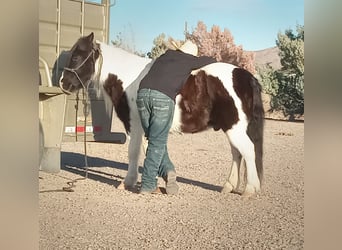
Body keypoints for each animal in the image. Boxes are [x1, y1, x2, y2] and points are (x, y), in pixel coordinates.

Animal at [59, 33, 264, 196]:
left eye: (76, 57)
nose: (63, 83)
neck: (129, 77)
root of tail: (246, 77)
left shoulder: (134, 125)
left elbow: (134, 152)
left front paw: (128, 182)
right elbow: (149, 150)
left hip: (235, 128)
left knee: (247, 151)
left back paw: (250, 190)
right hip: (231, 128)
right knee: (237, 153)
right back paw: (229, 186)